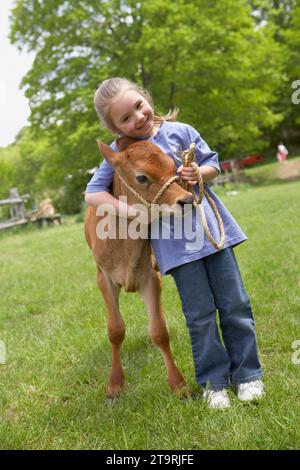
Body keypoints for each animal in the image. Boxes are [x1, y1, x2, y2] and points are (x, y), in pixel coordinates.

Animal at [84, 138, 193, 398]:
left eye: (173, 168)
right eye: (142, 177)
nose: (186, 200)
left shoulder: (151, 277)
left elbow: (159, 331)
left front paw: (179, 385)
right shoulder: (103, 277)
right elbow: (115, 330)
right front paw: (115, 385)